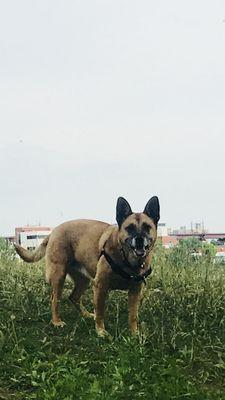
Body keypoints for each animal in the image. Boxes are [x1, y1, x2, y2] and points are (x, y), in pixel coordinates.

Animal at [14, 196, 160, 334]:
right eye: (129, 228)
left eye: (147, 227)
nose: (139, 239)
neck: (127, 259)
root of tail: (53, 231)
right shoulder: (100, 287)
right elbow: (100, 312)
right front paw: (100, 331)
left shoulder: (135, 291)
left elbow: (133, 316)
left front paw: (134, 333)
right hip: (58, 276)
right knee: (54, 299)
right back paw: (56, 321)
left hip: (84, 281)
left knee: (73, 297)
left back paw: (86, 315)